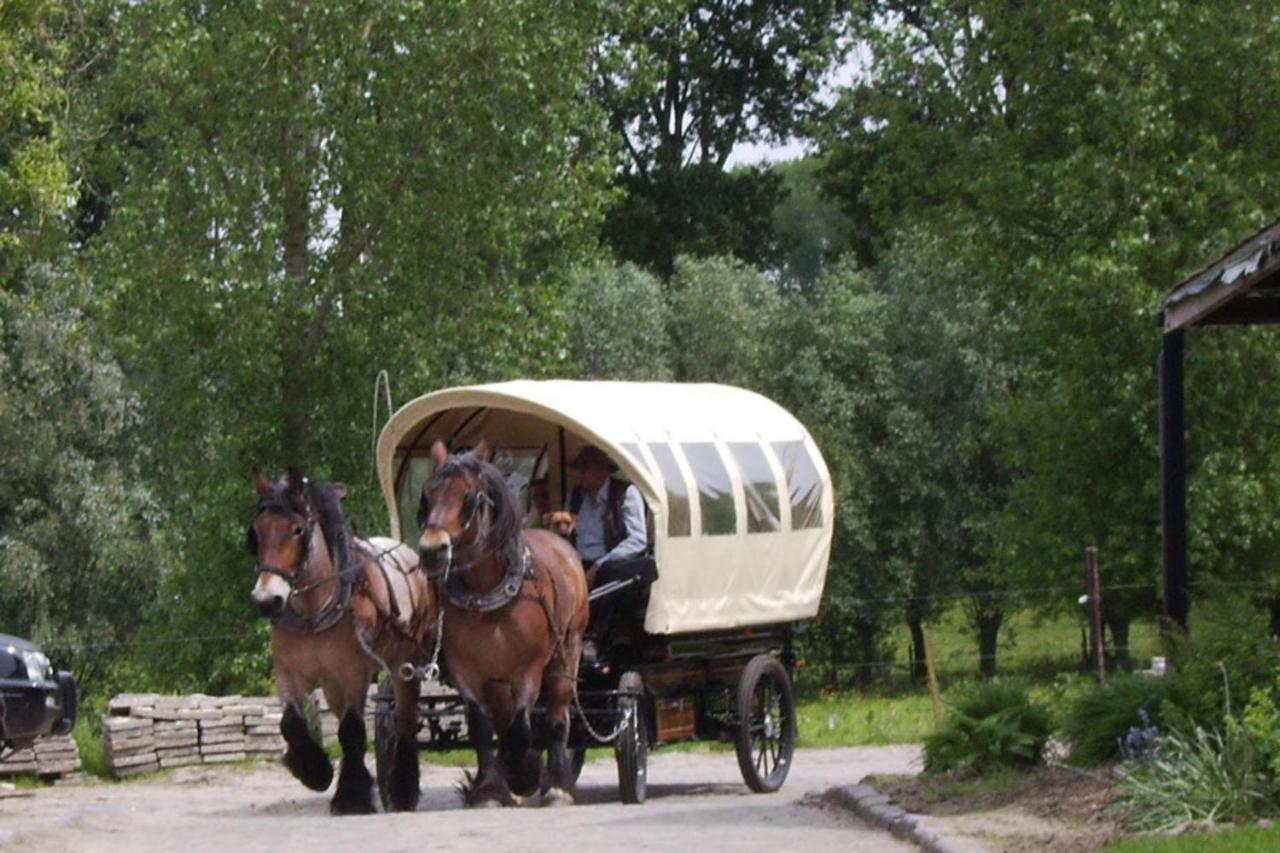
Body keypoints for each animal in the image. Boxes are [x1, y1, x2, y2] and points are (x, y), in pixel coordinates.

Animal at [247, 471, 437, 809]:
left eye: (297, 530)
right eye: (256, 532)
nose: (267, 600)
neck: (314, 613)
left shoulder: (354, 672)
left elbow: (351, 730)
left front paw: (351, 798)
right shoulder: (289, 671)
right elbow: (290, 723)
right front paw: (315, 772)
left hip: (404, 661)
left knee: (403, 717)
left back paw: (403, 789)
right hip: (332, 681)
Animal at [419, 438, 588, 804]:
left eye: (469, 496)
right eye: (427, 495)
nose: (432, 551)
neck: (488, 597)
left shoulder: (528, 670)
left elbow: (522, 728)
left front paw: (524, 775)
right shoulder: (468, 672)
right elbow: (483, 726)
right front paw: (490, 788)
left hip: (567, 650)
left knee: (556, 716)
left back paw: (557, 784)